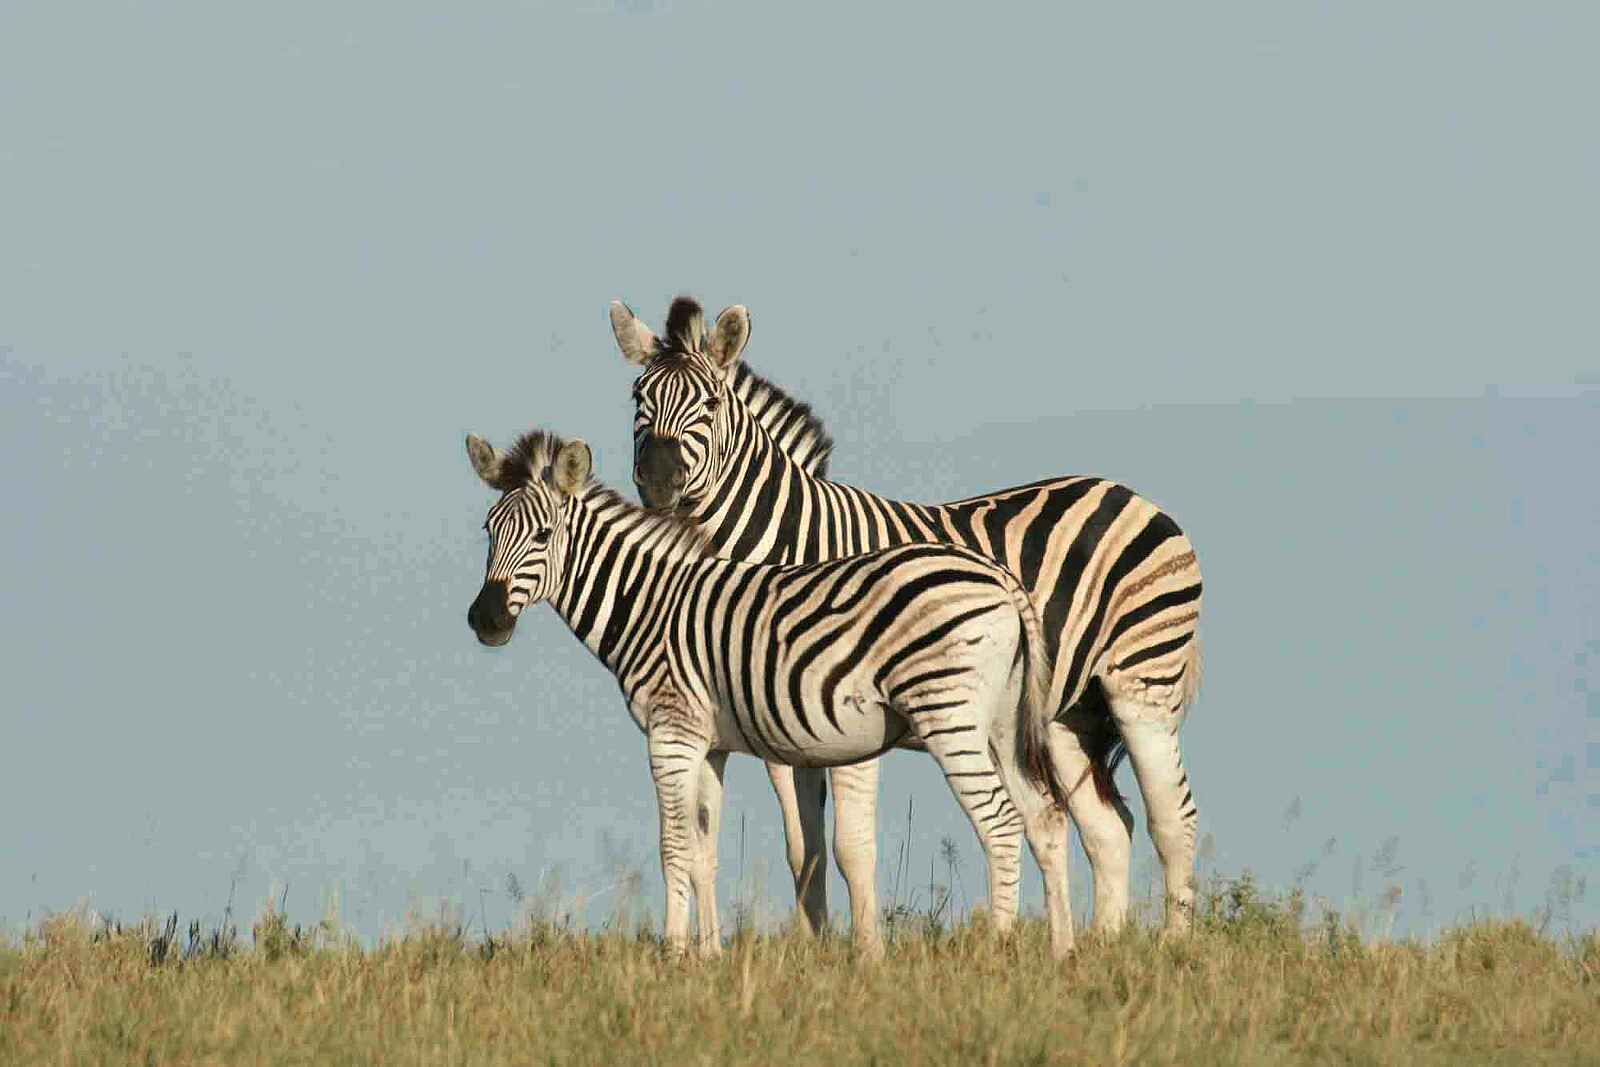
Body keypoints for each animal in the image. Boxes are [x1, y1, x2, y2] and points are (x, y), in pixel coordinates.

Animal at [463, 428, 1075, 957]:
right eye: (489, 531)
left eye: (543, 535)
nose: (485, 621)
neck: (650, 603)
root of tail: (1000, 577)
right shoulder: (709, 743)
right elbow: (704, 852)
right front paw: (708, 956)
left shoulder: (670, 731)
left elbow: (673, 847)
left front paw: (673, 953)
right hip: (1002, 722)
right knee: (1043, 817)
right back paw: (1060, 952)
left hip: (948, 713)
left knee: (999, 822)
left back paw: (996, 947)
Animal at [612, 296, 1205, 938]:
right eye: (638, 398)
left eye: (711, 403)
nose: (658, 482)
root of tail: (1129, 492)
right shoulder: (778, 725)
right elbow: (804, 850)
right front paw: (811, 947)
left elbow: (849, 846)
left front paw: (859, 947)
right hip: (1070, 713)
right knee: (1109, 829)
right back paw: (1102, 945)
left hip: (1142, 682)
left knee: (1172, 821)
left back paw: (1172, 946)